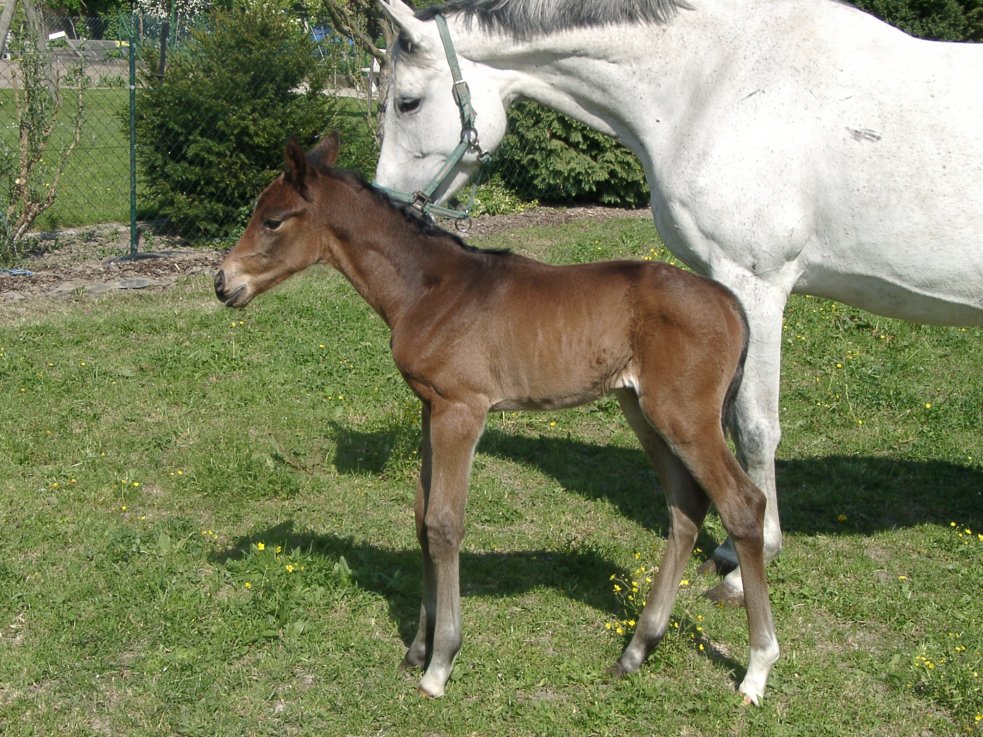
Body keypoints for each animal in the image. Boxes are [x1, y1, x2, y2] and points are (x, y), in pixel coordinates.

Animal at [217, 135, 784, 704]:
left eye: (272, 220)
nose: (222, 282)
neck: (430, 287)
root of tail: (731, 302)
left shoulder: (462, 409)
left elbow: (444, 523)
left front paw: (440, 663)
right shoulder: (431, 406)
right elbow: (421, 517)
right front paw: (418, 648)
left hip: (684, 416)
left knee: (742, 504)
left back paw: (757, 667)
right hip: (641, 409)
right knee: (686, 506)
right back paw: (636, 651)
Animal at [372, 0, 980, 604]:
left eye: (407, 102)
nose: (390, 203)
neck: (713, 80)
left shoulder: (756, 283)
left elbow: (754, 426)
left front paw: (749, 563)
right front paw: (735, 549)